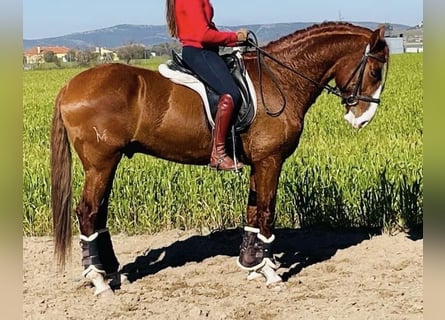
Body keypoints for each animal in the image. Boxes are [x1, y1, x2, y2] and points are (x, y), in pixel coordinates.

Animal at [50, 21, 386, 294]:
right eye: (374, 71)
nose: (362, 119)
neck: (280, 78)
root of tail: (69, 85)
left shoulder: (259, 163)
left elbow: (252, 212)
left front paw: (252, 265)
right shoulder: (270, 160)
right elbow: (266, 212)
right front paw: (269, 273)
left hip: (109, 163)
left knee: (99, 214)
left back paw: (112, 273)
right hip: (101, 163)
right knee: (88, 212)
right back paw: (99, 281)